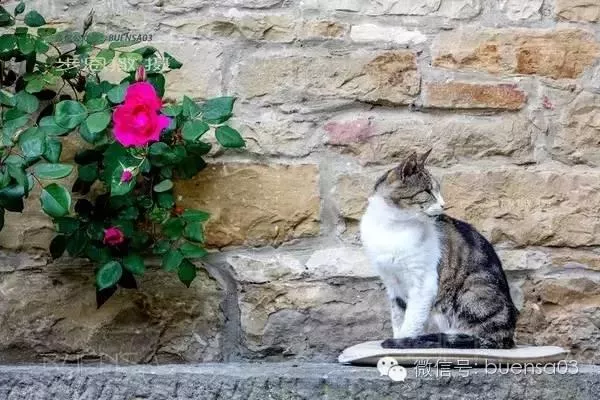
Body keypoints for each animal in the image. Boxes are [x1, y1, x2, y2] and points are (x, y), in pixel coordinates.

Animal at [360, 150, 518, 349]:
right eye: (427, 191)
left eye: (438, 190)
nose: (444, 204)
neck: (392, 228)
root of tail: (507, 338)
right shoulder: (393, 284)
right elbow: (399, 317)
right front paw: (399, 337)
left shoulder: (423, 283)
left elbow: (411, 320)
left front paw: (401, 342)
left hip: (473, 290)